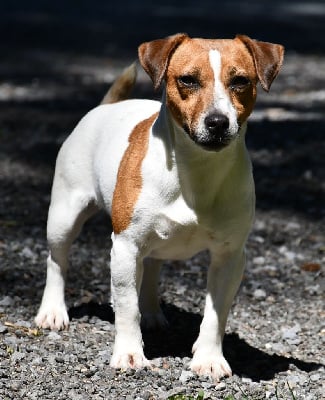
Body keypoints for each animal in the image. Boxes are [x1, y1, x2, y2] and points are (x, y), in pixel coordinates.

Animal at [35, 32, 282, 380]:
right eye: (188, 80)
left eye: (240, 81)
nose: (218, 122)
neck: (196, 170)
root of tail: (104, 107)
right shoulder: (125, 246)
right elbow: (126, 307)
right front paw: (129, 354)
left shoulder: (230, 256)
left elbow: (216, 314)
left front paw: (209, 358)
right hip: (65, 215)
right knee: (57, 260)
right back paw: (53, 311)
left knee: (151, 267)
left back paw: (151, 313)